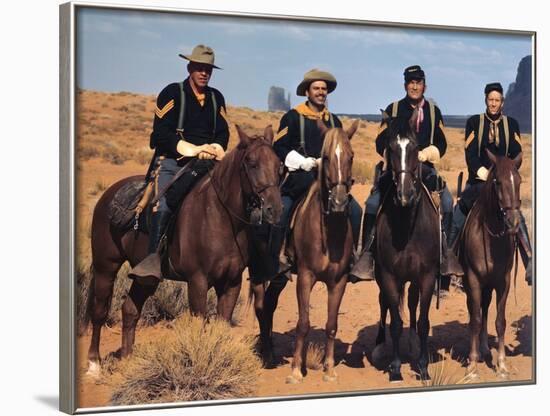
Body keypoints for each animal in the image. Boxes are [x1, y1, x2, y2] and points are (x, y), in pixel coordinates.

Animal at [87, 125, 284, 376]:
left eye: (279, 165)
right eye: (251, 163)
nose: (274, 209)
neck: (220, 216)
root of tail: (108, 194)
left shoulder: (231, 282)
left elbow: (221, 325)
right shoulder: (197, 281)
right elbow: (200, 324)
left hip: (145, 278)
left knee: (130, 309)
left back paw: (129, 360)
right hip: (106, 266)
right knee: (100, 310)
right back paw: (94, 364)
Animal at [284, 119, 362, 384]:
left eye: (351, 156)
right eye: (325, 157)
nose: (339, 203)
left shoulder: (339, 281)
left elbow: (331, 325)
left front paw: (329, 369)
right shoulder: (305, 277)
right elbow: (303, 324)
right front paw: (296, 370)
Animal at [374, 115, 442, 382]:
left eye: (415, 147)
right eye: (391, 148)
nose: (405, 195)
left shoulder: (427, 276)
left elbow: (423, 322)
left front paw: (422, 366)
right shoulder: (389, 275)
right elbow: (394, 322)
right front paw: (395, 368)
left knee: (412, 303)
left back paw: (412, 341)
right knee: (384, 304)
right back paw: (379, 344)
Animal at [464, 150, 524, 380]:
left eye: (519, 180)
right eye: (497, 182)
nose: (513, 223)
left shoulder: (502, 282)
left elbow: (500, 321)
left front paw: (501, 364)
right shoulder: (473, 280)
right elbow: (475, 319)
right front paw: (472, 365)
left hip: (488, 286)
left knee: (486, 309)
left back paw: (483, 348)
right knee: (476, 312)